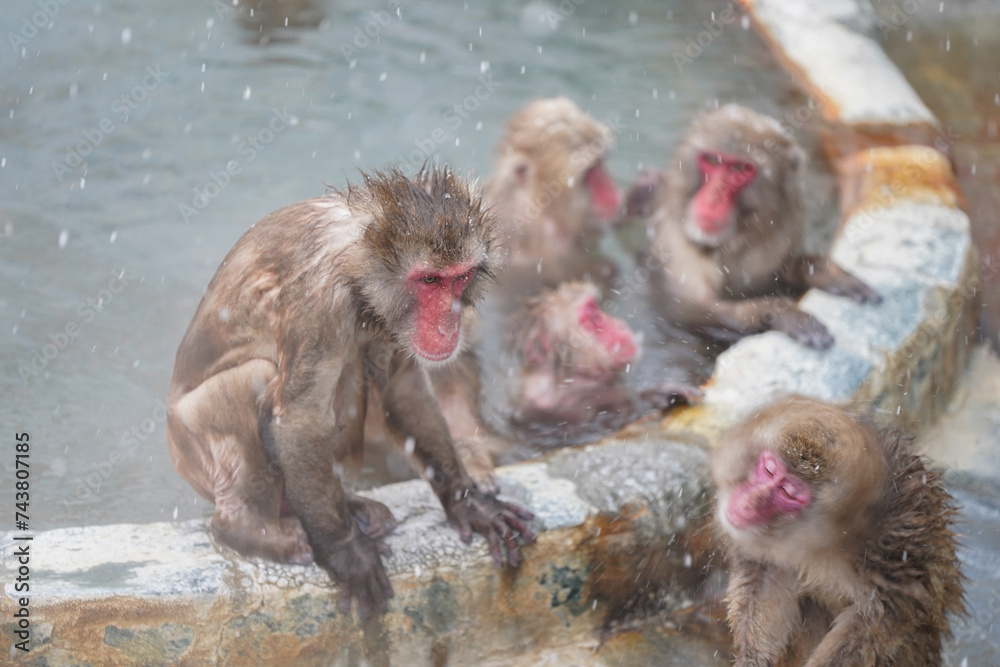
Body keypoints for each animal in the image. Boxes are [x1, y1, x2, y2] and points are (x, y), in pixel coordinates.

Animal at [167, 167, 535, 620]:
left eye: (458, 278)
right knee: (259, 377)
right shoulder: (320, 305)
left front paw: (468, 503)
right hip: (191, 449)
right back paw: (250, 528)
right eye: (429, 280)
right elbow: (299, 421)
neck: (360, 267)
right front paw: (346, 553)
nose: (449, 320)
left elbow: (404, 388)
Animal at [640, 104, 880, 350]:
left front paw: (824, 271)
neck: (733, 241)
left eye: (741, 169)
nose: (713, 199)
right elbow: (684, 308)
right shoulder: (677, 248)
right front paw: (777, 310)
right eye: (713, 161)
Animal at [711, 396, 964, 666]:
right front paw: (752, 660)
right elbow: (765, 578)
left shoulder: (895, 548)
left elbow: (880, 617)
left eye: (788, 493)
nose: (749, 503)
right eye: (769, 469)